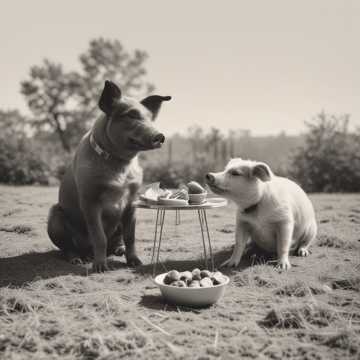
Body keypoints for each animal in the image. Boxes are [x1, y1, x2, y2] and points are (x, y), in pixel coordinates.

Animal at [47, 80, 171, 272]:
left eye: (150, 118)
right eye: (131, 115)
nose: (160, 136)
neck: (119, 162)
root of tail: (85, 251)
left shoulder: (131, 203)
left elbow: (131, 236)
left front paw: (135, 262)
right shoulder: (90, 201)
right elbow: (99, 236)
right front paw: (100, 268)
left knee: (117, 242)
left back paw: (118, 250)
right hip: (55, 218)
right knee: (68, 248)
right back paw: (78, 259)